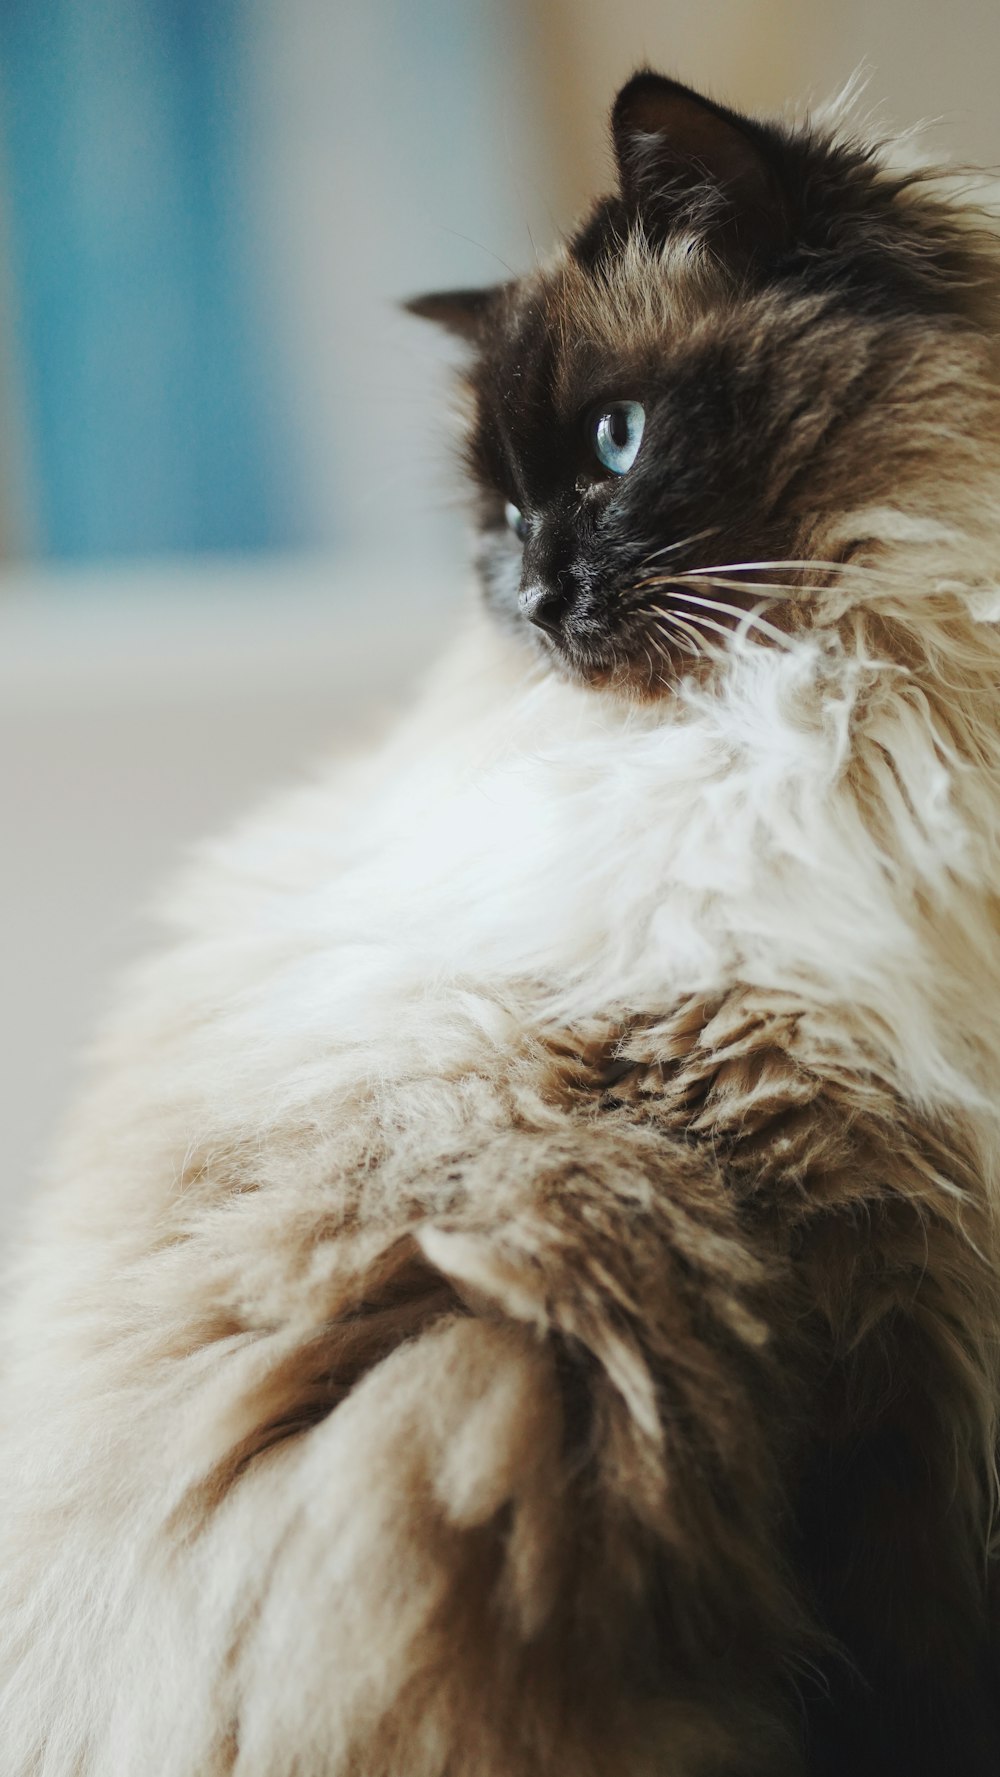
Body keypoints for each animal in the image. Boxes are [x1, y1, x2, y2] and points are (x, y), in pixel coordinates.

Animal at [1, 69, 1000, 1777]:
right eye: (499, 520)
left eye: (613, 443)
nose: (529, 596)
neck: (852, 707)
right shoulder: (860, 1238)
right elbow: (920, 1656)